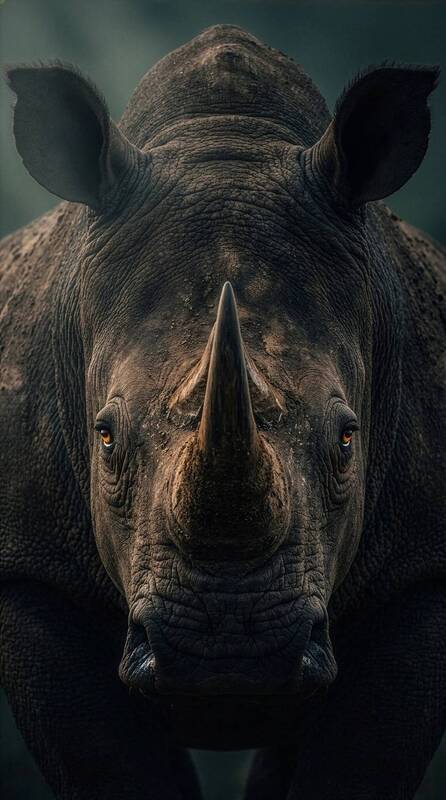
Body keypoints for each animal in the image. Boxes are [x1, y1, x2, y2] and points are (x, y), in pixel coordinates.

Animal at [1, 23, 445, 800]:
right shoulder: (32, 569)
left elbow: (359, 759)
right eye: (105, 439)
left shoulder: (421, 570)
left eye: (348, 441)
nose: (230, 654)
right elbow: (110, 762)